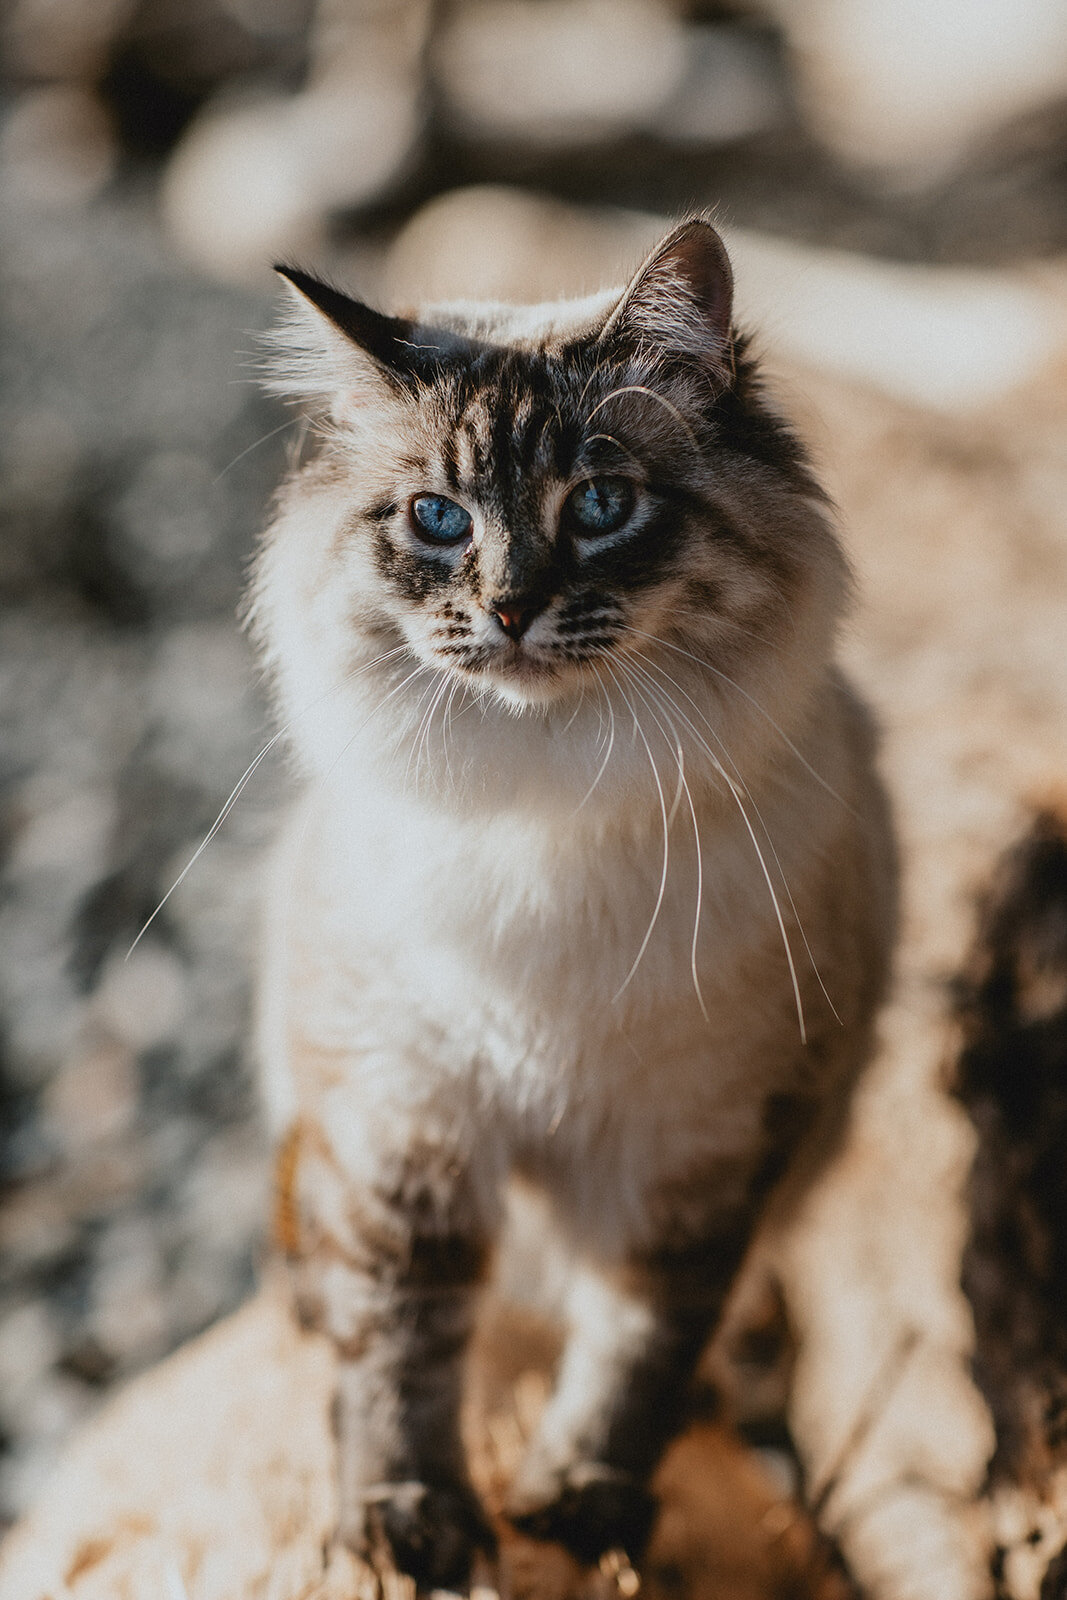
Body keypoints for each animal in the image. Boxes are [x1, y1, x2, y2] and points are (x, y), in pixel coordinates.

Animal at [251, 216, 902, 1587]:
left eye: (599, 506)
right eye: (436, 519)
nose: (508, 608)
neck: (545, 812)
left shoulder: (693, 1154)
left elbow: (634, 1352)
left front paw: (575, 1507)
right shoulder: (406, 1133)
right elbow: (402, 1349)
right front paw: (410, 1526)